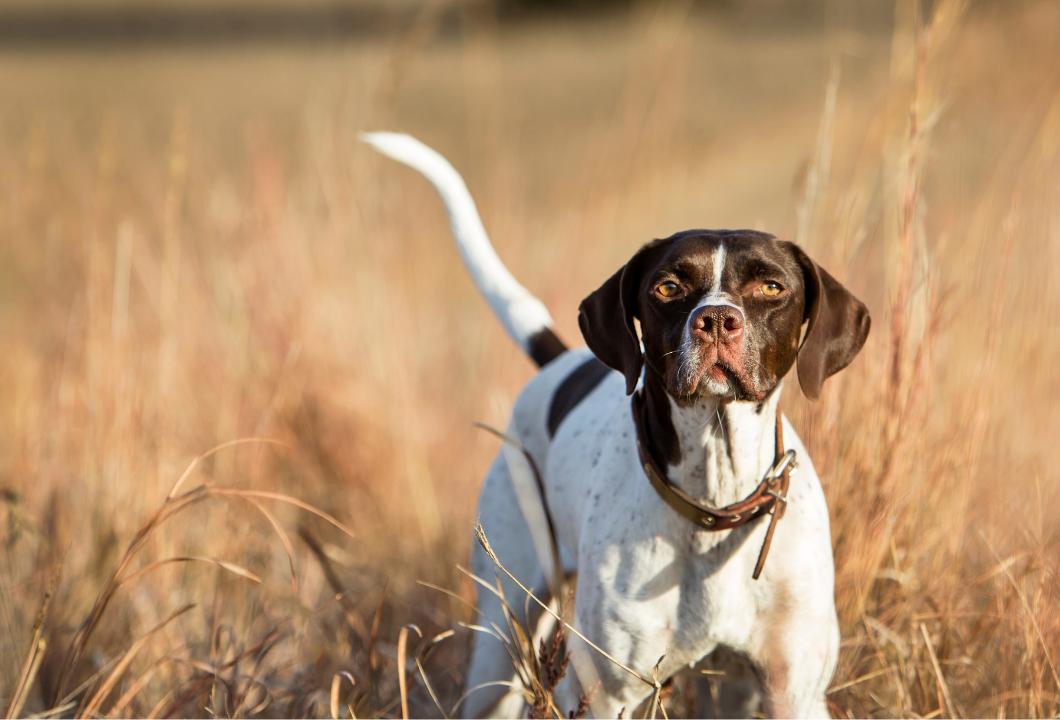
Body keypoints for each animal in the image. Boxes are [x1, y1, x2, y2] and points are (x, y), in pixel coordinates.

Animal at [362, 132, 869, 716]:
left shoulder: (794, 690)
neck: (714, 503)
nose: (717, 320)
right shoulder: (609, 693)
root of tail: (558, 363)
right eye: (668, 287)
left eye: (771, 287)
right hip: (501, 637)